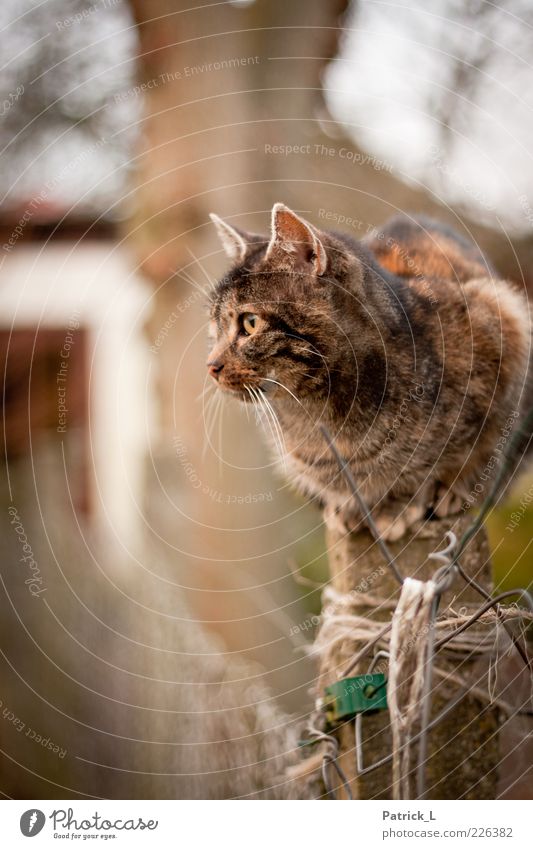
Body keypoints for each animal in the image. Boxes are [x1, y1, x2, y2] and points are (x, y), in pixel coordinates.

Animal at [206, 202, 528, 540]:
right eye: (214, 326)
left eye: (250, 323)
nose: (210, 366)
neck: (323, 412)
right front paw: (348, 508)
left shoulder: (503, 321)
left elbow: (473, 452)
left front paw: (402, 504)